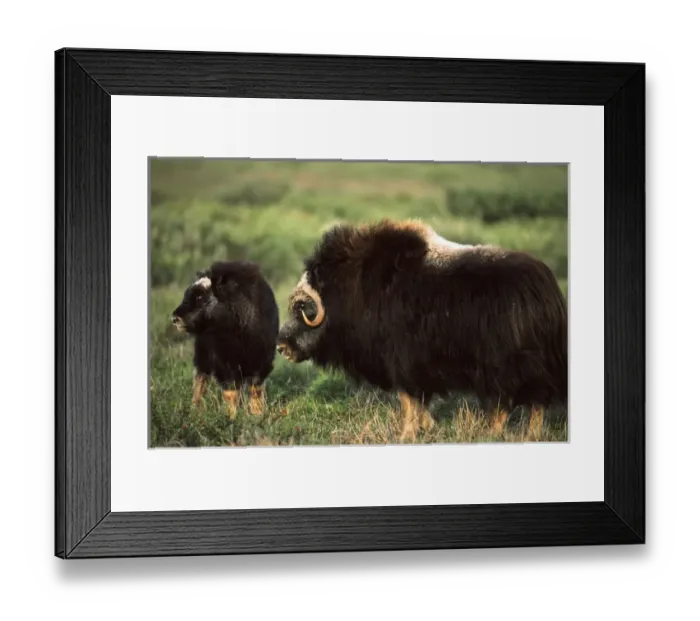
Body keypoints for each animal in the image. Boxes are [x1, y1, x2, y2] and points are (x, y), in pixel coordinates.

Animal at [171, 260, 279, 419]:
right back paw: (195, 409)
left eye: (200, 297)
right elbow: (231, 391)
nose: (174, 318)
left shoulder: (261, 360)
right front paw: (232, 416)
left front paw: (257, 414)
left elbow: (255, 388)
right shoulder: (224, 362)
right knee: (200, 379)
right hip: (202, 357)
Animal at [276, 219, 567, 442]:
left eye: (303, 307)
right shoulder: (414, 368)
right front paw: (427, 427)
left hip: (505, 367)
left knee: (509, 403)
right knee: (535, 402)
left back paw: (492, 434)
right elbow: (419, 401)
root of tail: (546, 290)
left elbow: (408, 400)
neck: (352, 290)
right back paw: (528, 435)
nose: (281, 346)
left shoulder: (402, 362)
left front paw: (405, 435)